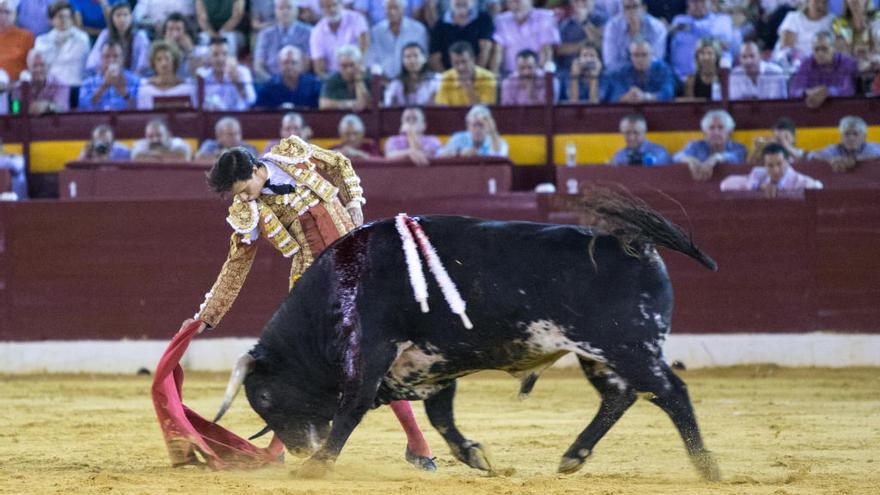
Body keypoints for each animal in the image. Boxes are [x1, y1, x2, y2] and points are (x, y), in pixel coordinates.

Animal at [217, 203, 720, 478]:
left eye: (264, 396)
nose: (299, 448)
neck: (343, 284)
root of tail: (636, 244)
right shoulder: (435, 362)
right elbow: (441, 417)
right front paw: (475, 456)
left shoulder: (373, 351)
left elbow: (352, 407)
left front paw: (318, 465)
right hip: (599, 354)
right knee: (621, 397)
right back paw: (573, 456)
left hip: (627, 347)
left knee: (671, 392)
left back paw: (706, 467)